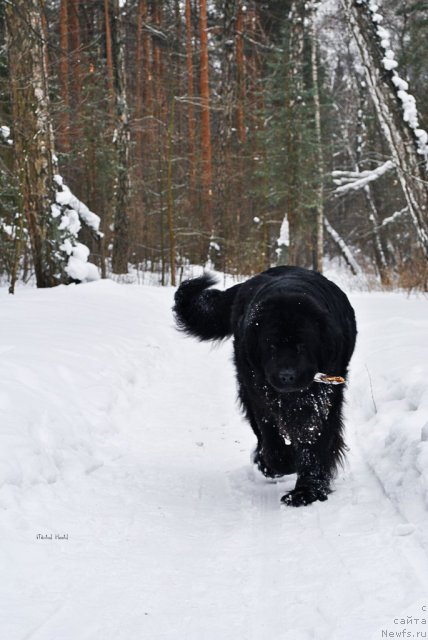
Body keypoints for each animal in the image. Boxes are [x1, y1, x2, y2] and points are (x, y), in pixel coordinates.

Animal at [172, 264, 356, 504]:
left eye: (302, 347)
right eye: (271, 346)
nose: (286, 375)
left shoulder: (325, 398)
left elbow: (316, 440)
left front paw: (306, 491)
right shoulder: (259, 394)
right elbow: (270, 434)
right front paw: (282, 464)